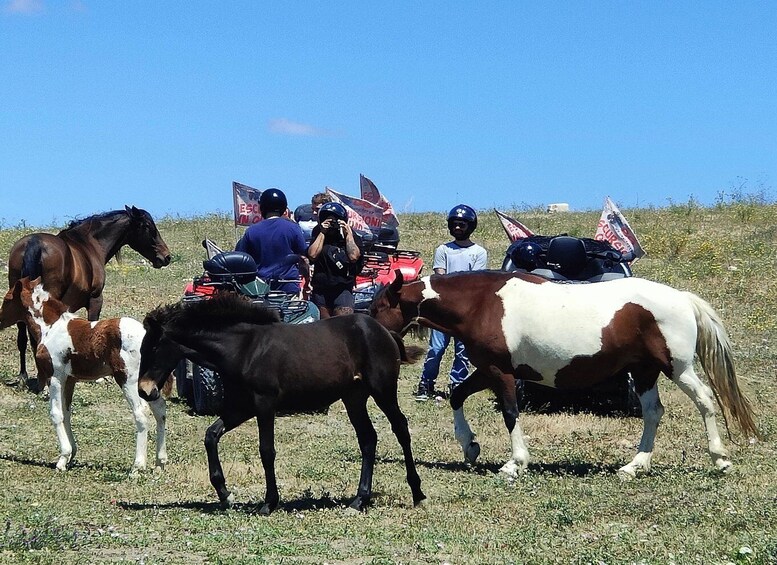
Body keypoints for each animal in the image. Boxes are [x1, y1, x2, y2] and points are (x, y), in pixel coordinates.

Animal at [1, 205, 171, 386]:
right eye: (147, 226)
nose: (166, 257)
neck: (89, 245)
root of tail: (34, 243)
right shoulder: (95, 300)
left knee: (22, 337)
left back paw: (24, 375)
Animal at [1, 276, 167, 474]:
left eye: (7, 299)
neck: (51, 328)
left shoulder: (55, 377)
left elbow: (56, 413)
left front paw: (62, 459)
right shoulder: (70, 379)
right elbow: (67, 412)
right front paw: (71, 455)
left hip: (128, 380)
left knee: (141, 413)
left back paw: (137, 466)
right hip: (148, 384)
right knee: (160, 410)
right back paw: (160, 463)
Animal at [370, 270, 756, 478]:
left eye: (376, 307)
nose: (367, 334)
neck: (482, 303)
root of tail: (682, 298)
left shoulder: (501, 373)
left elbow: (510, 413)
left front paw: (515, 464)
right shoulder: (488, 370)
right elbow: (456, 395)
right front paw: (470, 447)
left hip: (678, 368)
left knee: (705, 400)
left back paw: (720, 459)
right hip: (645, 372)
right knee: (653, 413)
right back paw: (634, 465)